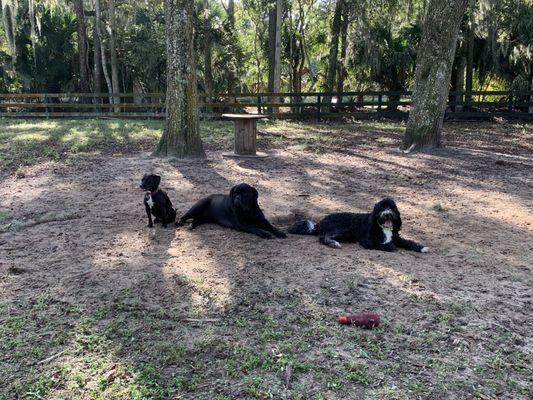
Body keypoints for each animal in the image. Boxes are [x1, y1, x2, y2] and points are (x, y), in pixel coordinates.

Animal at [286, 198, 428, 253]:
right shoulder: (367, 241)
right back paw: (333, 243)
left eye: (391, 208)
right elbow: (382, 244)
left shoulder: (396, 237)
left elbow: (408, 242)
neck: (382, 227)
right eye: (381, 208)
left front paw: (421, 247)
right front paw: (390, 246)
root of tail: (320, 222)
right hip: (341, 230)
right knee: (323, 238)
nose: (387, 214)